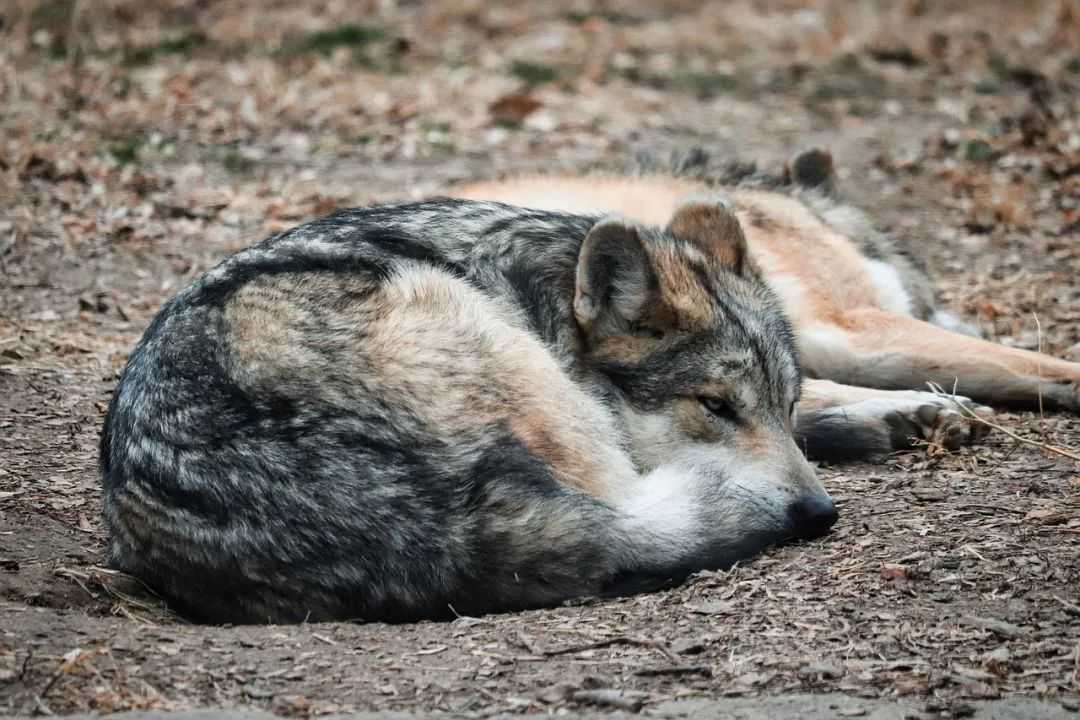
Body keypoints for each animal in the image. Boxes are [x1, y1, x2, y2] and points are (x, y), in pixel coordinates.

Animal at [101, 148, 1080, 621]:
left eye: (777, 403)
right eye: (713, 406)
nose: (818, 515)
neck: (537, 278)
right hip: (496, 352)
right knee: (635, 512)